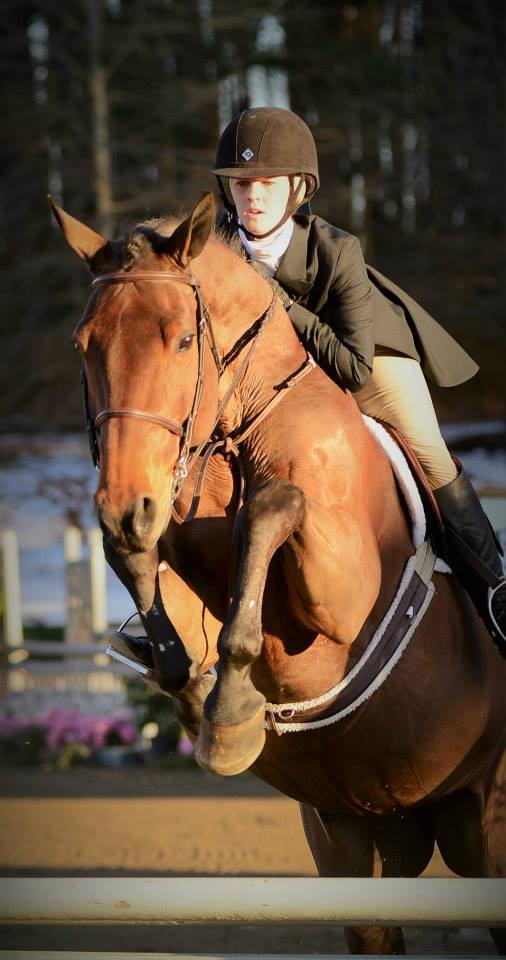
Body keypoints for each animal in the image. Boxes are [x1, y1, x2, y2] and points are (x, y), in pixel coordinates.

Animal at [51, 192, 506, 955]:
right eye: (86, 345)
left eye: (182, 340)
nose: (124, 507)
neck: (238, 426)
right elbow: (148, 571)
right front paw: (197, 695)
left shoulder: (343, 596)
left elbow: (271, 507)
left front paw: (232, 710)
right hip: (353, 834)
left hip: (486, 822)